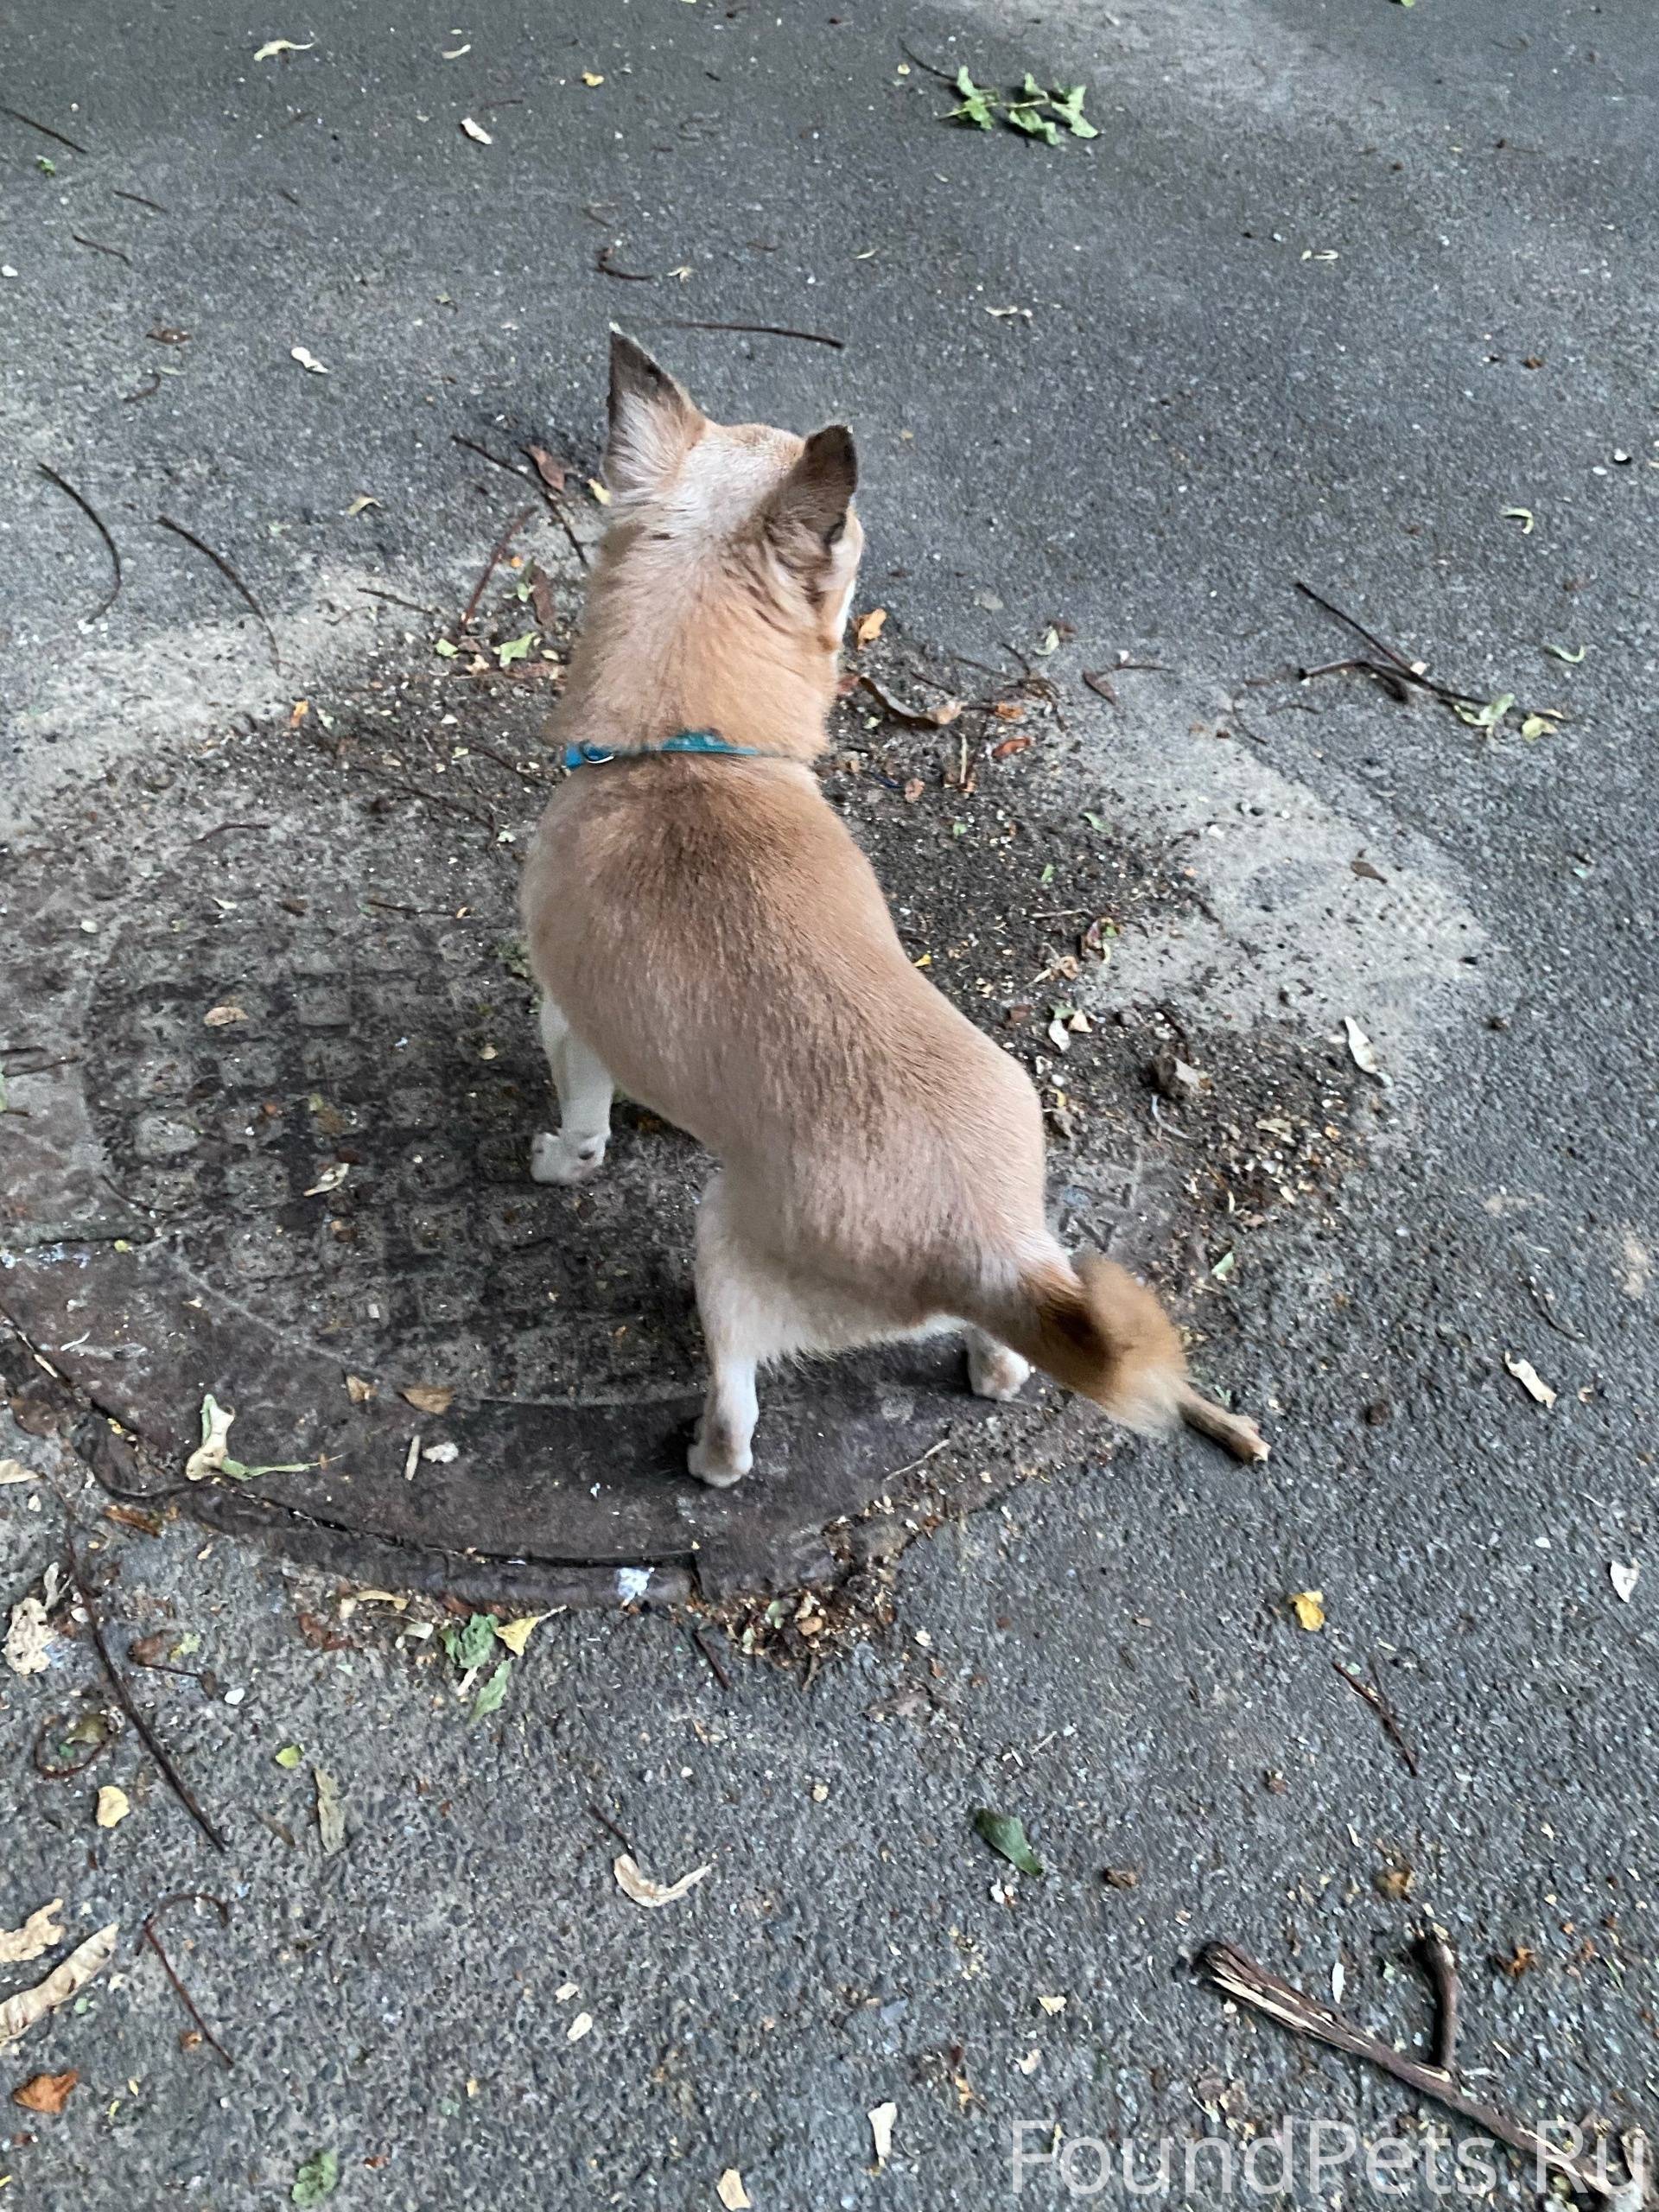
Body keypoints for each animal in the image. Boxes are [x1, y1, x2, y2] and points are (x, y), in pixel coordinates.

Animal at [512, 332, 1265, 1486]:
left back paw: (703, 1456)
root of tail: (985, 1252)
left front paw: (557, 1160)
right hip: (1030, 1246)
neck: (684, 756)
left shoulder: (569, 1023)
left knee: (737, 1418)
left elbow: (585, 1130)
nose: (871, 543)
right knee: (1006, 1360)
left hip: (724, 1255)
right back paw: (997, 1360)